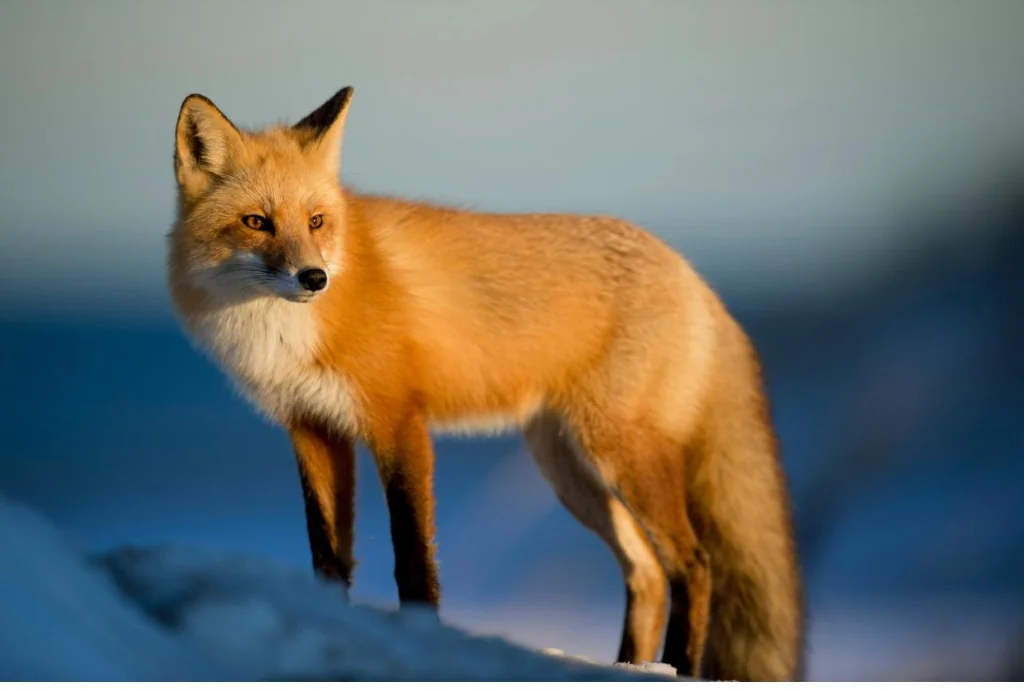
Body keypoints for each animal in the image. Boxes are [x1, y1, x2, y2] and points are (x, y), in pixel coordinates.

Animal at [166, 86, 805, 681]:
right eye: (257, 222)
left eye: (316, 221)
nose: (314, 277)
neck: (284, 332)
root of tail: (693, 275)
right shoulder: (313, 429)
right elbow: (328, 558)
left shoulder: (398, 422)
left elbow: (412, 558)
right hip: (569, 470)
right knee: (646, 572)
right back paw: (630, 666)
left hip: (620, 454)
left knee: (694, 565)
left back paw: (677, 667)